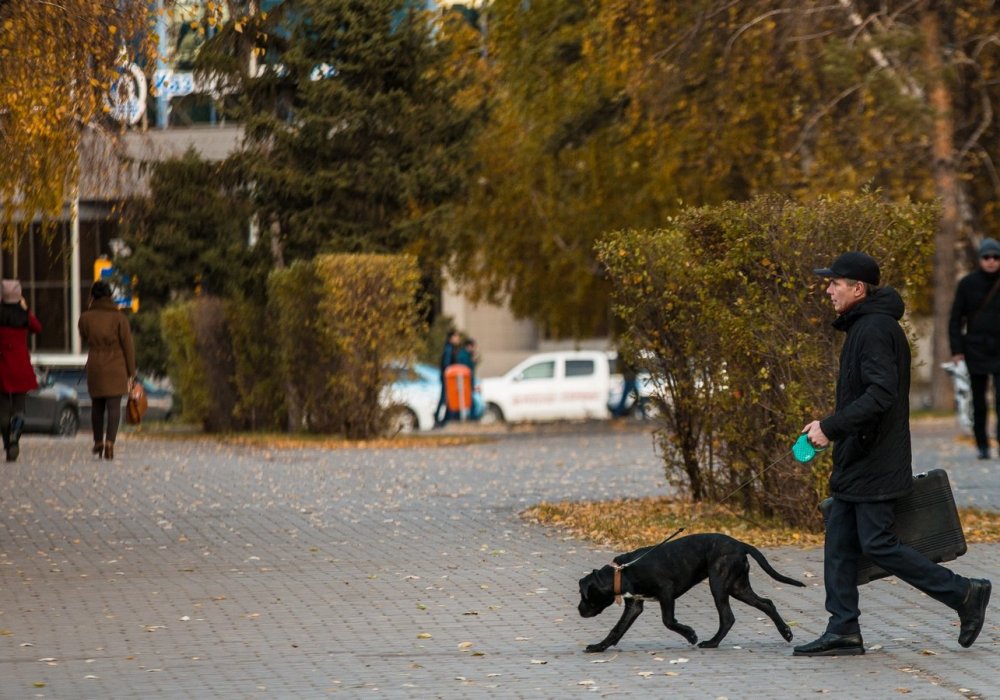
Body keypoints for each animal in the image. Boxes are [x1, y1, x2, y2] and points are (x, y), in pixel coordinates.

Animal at [580, 536, 804, 652]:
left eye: (584, 595)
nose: (579, 610)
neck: (623, 572)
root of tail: (740, 544)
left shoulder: (666, 592)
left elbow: (668, 621)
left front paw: (691, 635)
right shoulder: (634, 604)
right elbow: (617, 629)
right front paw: (599, 647)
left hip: (719, 585)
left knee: (728, 617)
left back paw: (712, 642)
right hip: (738, 587)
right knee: (767, 603)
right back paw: (786, 632)